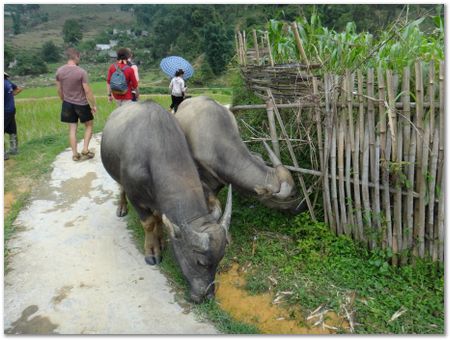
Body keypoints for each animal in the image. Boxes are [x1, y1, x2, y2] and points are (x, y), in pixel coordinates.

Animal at [101, 101, 232, 302]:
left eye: (221, 258)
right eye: (200, 261)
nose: (207, 295)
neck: (155, 149)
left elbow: (159, 218)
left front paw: (161, 240)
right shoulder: (136, 198)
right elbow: (148, 223)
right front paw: (152, 251)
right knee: (120, 186)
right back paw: (121, 208)